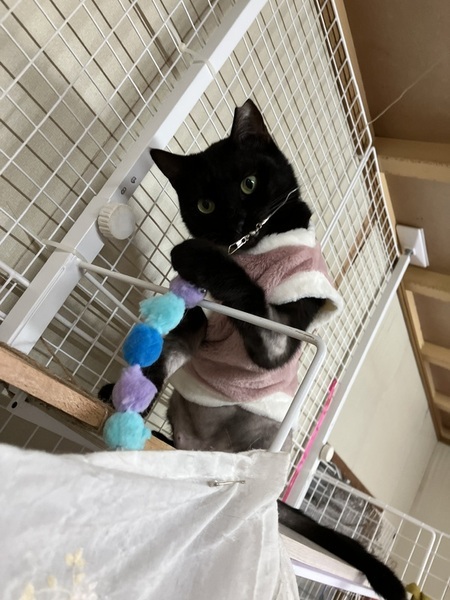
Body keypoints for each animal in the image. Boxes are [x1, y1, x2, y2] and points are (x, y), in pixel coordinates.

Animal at [100, 100, 405, 600]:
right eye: (205, 204)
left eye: (248, 183)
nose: (237, 223)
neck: (253, 248)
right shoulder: (195, 323)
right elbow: (165, 358)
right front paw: (132, 401)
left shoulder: (278, 333)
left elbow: (247, 290)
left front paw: (193, 253)